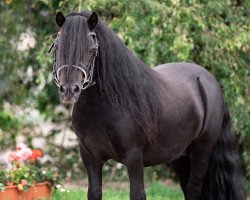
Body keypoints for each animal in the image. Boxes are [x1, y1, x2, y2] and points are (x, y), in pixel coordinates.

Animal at [50, 11, 244, 200]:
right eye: (57, 47)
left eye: (92, 50)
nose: (69, 90)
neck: (104, 107)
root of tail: (209, 80)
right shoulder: (90, 156)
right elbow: (94, 192)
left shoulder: (134, 157)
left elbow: (137, 194)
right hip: (180, 156)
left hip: (202, 151)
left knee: (194, 189)